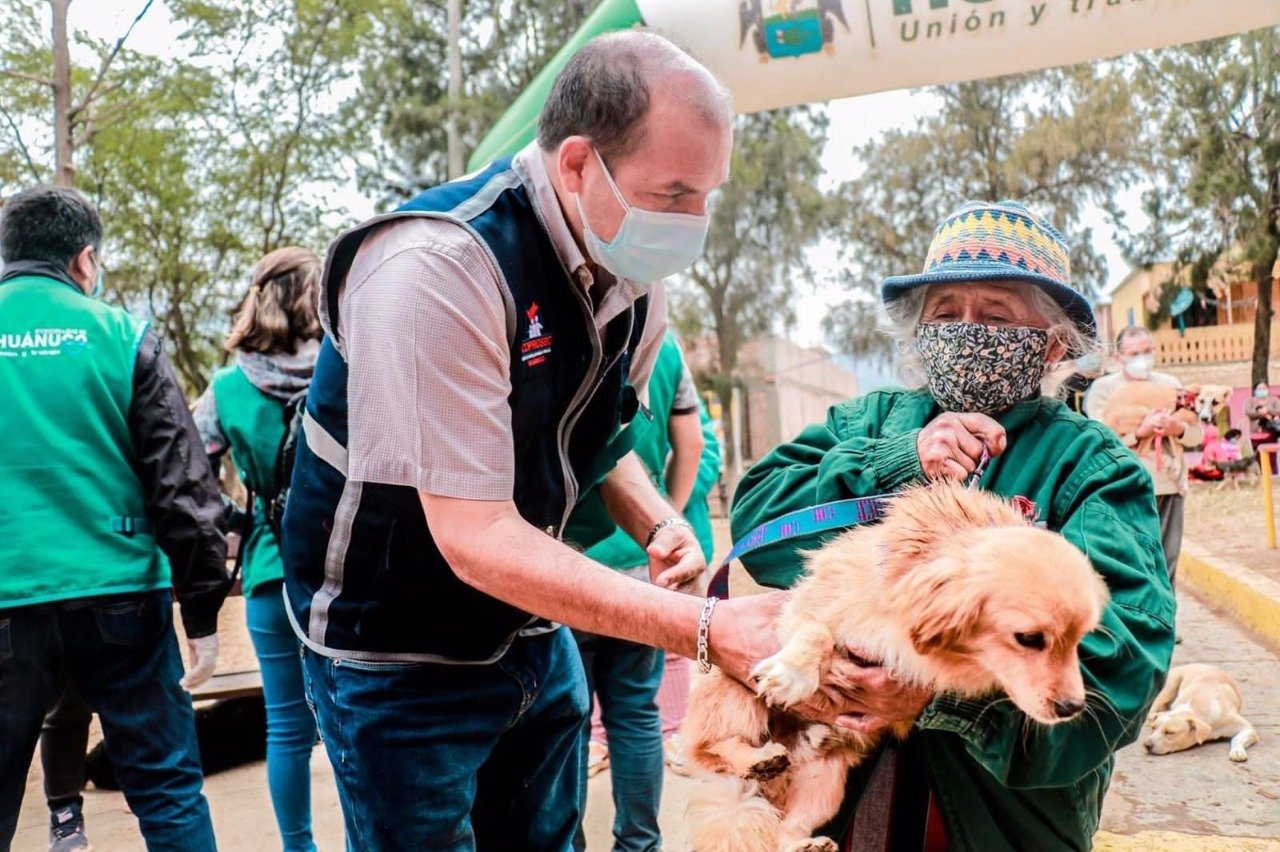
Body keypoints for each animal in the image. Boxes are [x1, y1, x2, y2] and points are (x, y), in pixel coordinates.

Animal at [680, 481, 1111, 844]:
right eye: (1029, 639)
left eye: (1080, 638)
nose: (1073, 707)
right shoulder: (810, 607)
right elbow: (817, 633)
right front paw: (792, 674)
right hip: (733, 696)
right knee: (710, 749)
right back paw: (757, 759)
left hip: (826, 784)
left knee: (787, 831)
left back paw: (808, 834)